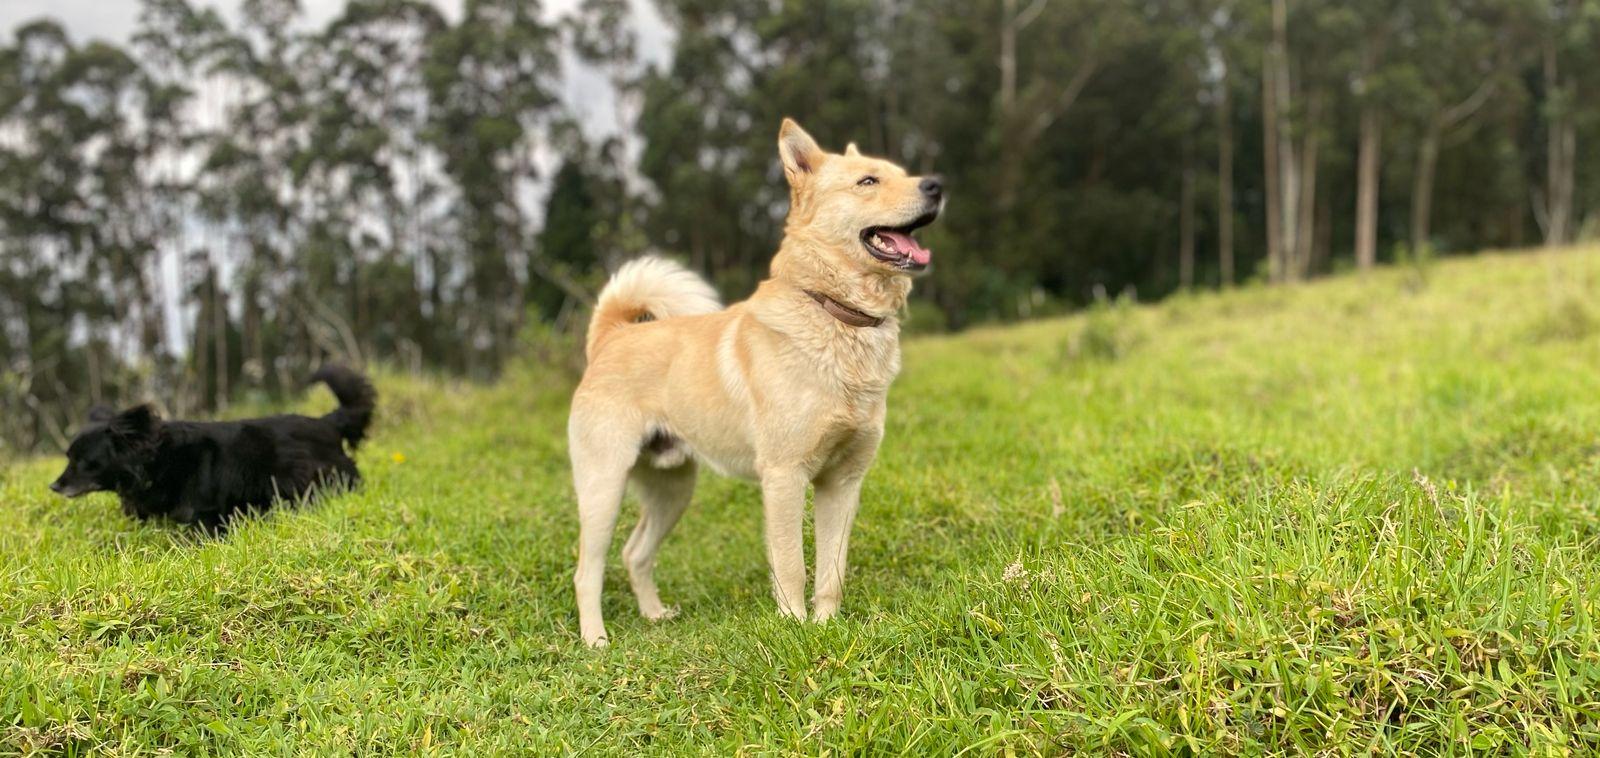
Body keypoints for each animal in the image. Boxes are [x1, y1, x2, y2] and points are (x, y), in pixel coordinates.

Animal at [49, 366, 374, 527]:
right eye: (68, 457)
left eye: (83, 462)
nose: (54, 486)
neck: (161, 461)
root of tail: (328, 422)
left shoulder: (206, 515)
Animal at [569, 116, 940, 646]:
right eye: (868, 181)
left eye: (902, 173)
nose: (937, 185)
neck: (835, 316)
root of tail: (611, 337)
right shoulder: (784, 478)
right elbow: (791, 566)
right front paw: (794, 628)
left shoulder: (843, 482)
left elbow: (832, 570)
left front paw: (826, 626)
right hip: (603, 487)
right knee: (588, 570)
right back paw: (596, 641)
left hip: (672, 490)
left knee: (634, 553)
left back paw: (655, 616)